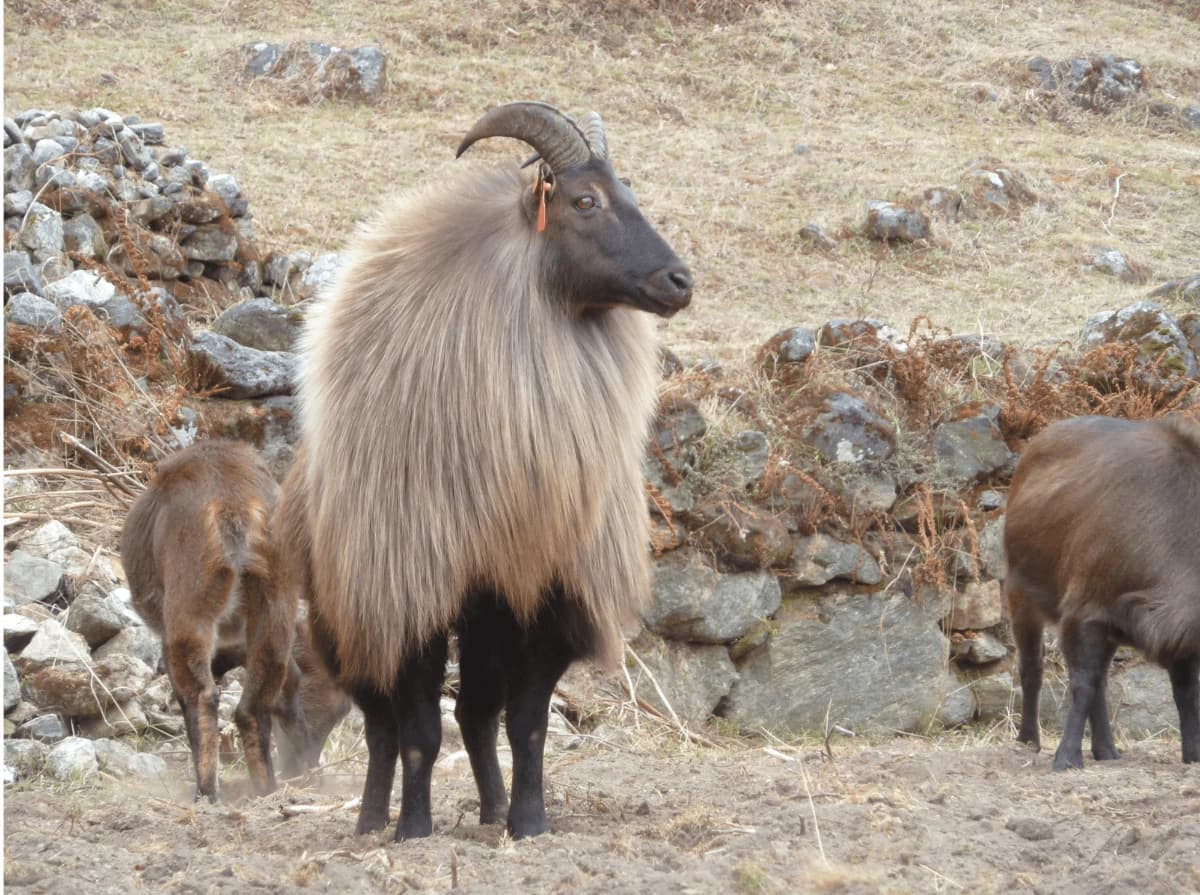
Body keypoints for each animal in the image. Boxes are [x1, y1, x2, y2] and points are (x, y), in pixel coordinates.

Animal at [1003, 410, 1200, 767]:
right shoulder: (1082, 613)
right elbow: (1083, 683)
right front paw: (1066, 756)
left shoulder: (1175, 635)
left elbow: (1186, 692)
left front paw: (1193, 753)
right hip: (1020, 596)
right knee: (1032, 667)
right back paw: (1029, 739)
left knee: (1102, 683)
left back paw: (1106, 749)